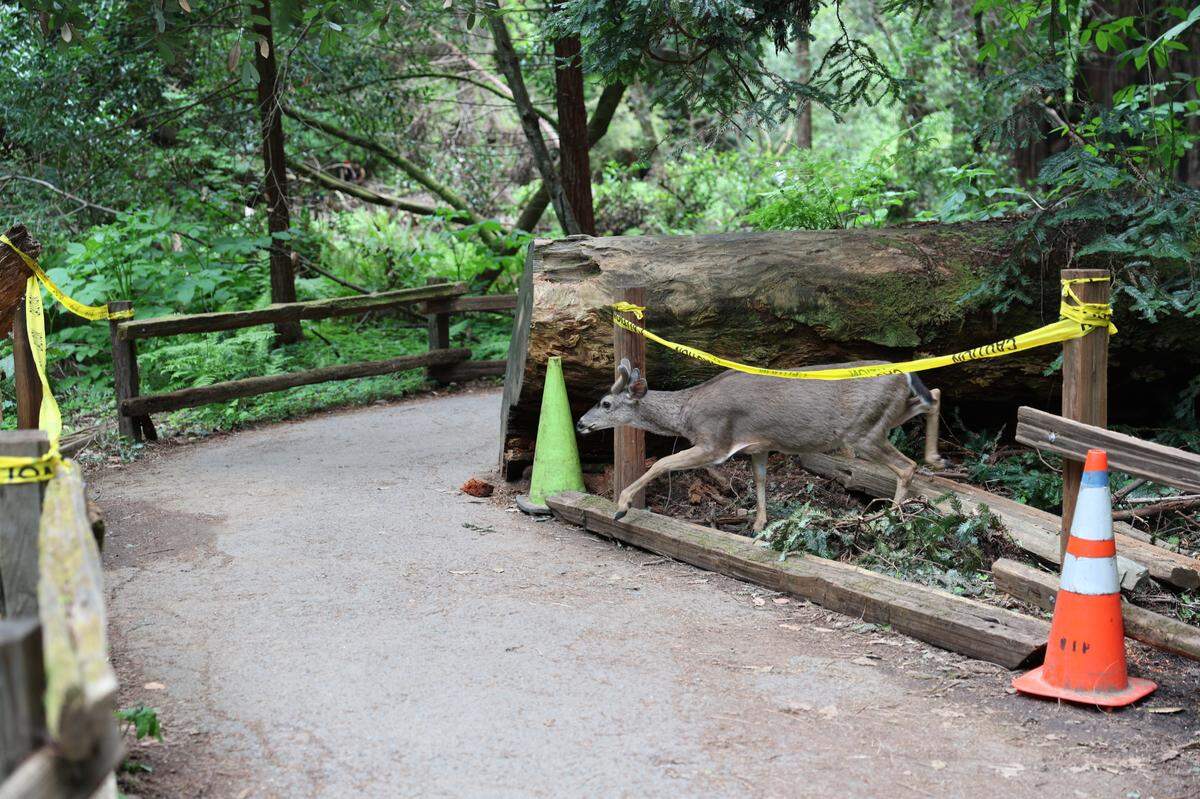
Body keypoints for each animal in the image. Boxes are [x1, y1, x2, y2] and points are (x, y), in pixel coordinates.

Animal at [575, 359, 945, 532]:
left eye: (606, 403)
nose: (580, 423)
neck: (686, 412)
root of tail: (903, 373)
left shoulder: (714, 441)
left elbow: (661, 462)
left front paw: (622, 504)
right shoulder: (758, 445)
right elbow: (761, 481)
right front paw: (758, 525)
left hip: (862, 431)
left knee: (907, 466)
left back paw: (889, 518)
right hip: (889, 414)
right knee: (935, 394)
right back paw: (936, 458)